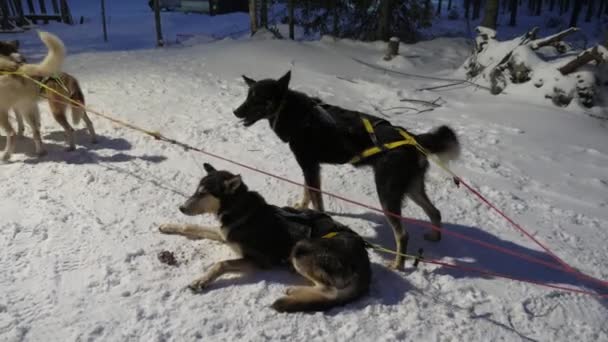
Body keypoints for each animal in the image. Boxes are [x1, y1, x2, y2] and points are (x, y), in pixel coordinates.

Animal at [158, 163, 370, 312]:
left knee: (330, 292)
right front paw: (168, 226)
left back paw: (294, 292)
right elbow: (191, 226)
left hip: (300, 248)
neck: (241, 210)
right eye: (196, 191)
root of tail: (364, 261)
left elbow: (222, 264)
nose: (181, 208)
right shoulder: (224, 234)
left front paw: (202, 280)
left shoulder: (260, 260)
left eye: (203, 194)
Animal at [233, 71, 460, 270]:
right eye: (248, 95)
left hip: (387, 193)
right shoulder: (310, 167)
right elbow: (307, 191)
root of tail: (412, 138)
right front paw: (302, 207)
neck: (296, 114)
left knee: (402, 234)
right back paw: (435, 237)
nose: (235, 111)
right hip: (412, 187)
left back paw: (398, 265)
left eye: (258, 98)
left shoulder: (310, 166)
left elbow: (316, 198)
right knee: (435, 212)